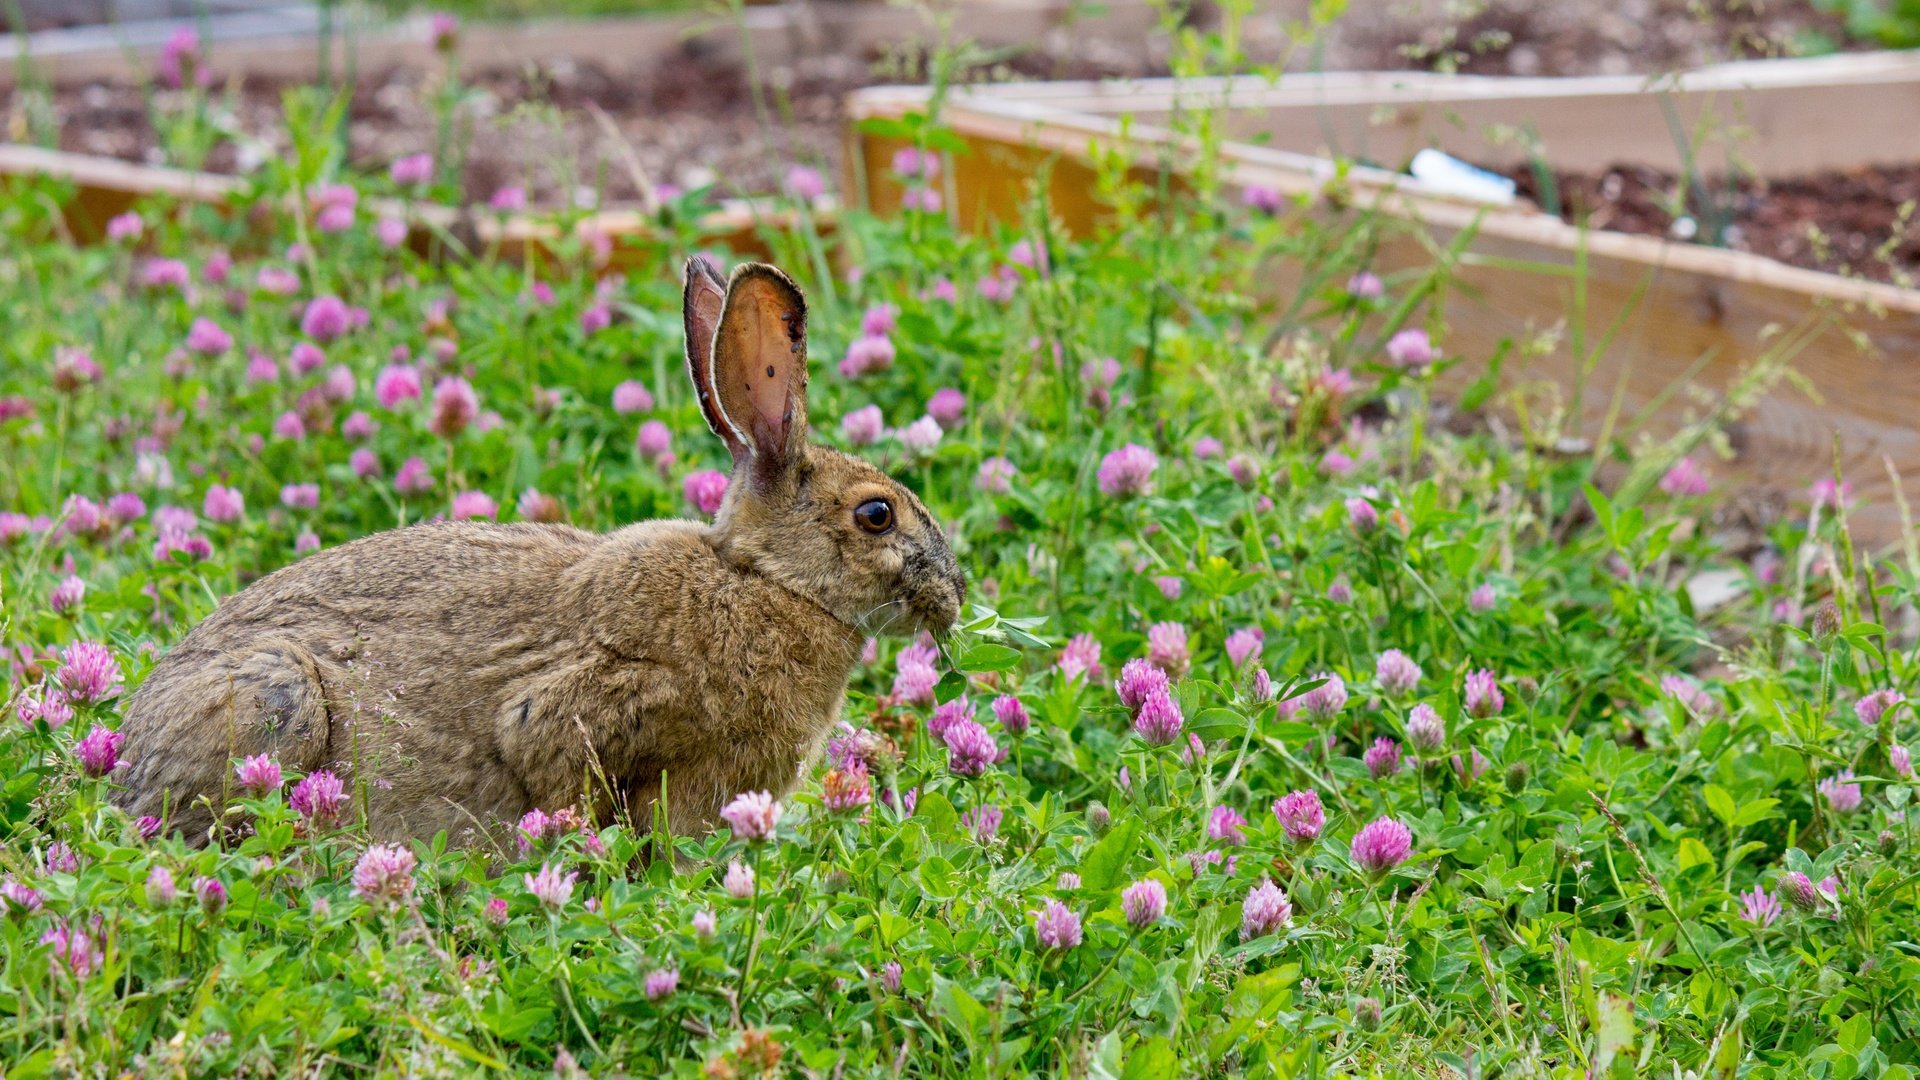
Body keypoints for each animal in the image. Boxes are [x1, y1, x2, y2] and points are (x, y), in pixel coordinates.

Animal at [112, 255, 967, 845]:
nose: (955, 594)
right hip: (277, 700)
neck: (766, 582)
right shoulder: (584, 711)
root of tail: (124, 763)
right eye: (877, 515)